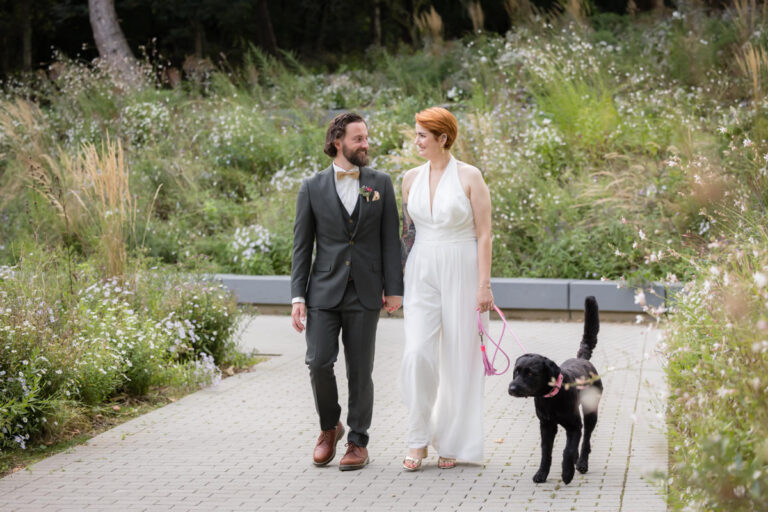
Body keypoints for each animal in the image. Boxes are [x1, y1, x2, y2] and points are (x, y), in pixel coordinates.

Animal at [508, 296, 604, 484]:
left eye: (531, 373)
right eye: (516, 371)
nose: (512, 388)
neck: (551, 398)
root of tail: (583, 359)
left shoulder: (574, 426)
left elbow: (567, 450)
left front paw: (567, 473)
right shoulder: (546, 426)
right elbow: (546, 453)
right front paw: (541, 474)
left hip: (590, 411)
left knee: (585, 439)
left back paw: (581, 463)